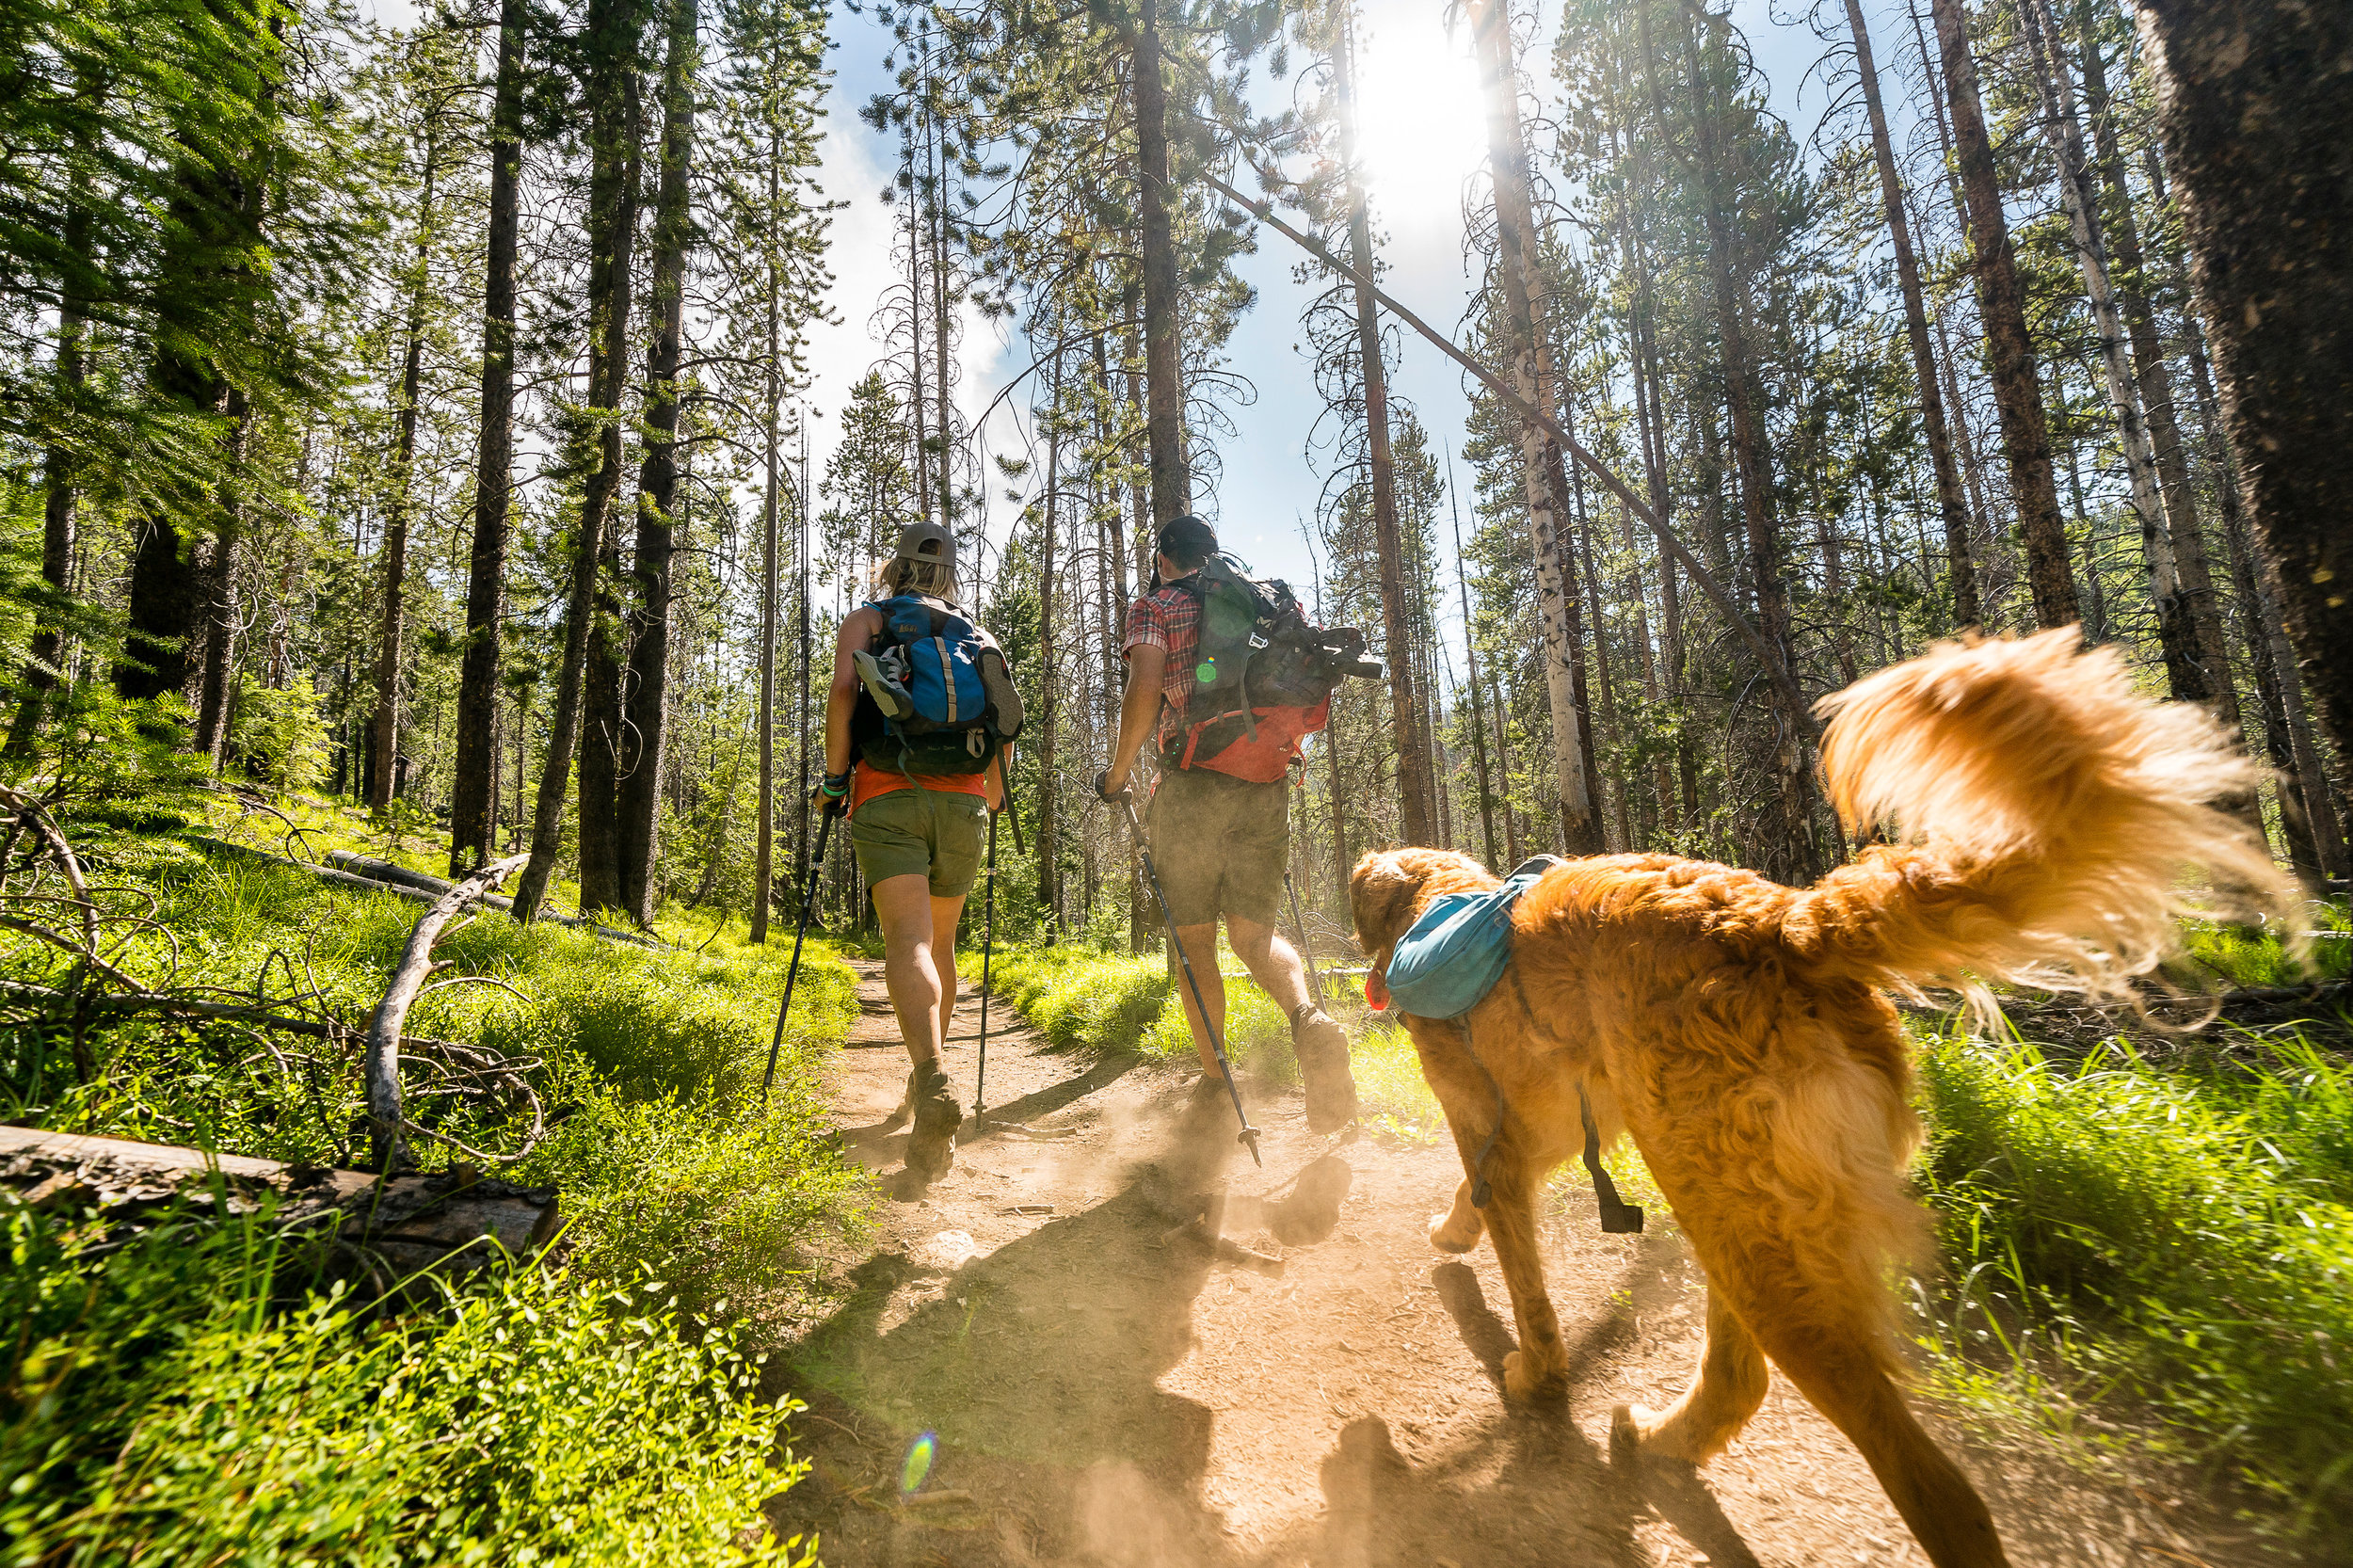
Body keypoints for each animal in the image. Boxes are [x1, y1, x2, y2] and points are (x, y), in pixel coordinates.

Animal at [1355, 631, 2287, 1562]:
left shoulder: (1494, 1135)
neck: (1440, 907)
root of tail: (1783, 928)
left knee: (1935, 1490)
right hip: (1737, 1206)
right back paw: (1660, 1440)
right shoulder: (1546, 1134)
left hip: (1741, 1222)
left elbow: (1520, 1275)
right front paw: (1453, 1234)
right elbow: (1473, 1202)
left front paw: (1529, 1369)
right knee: (1742, 1377)